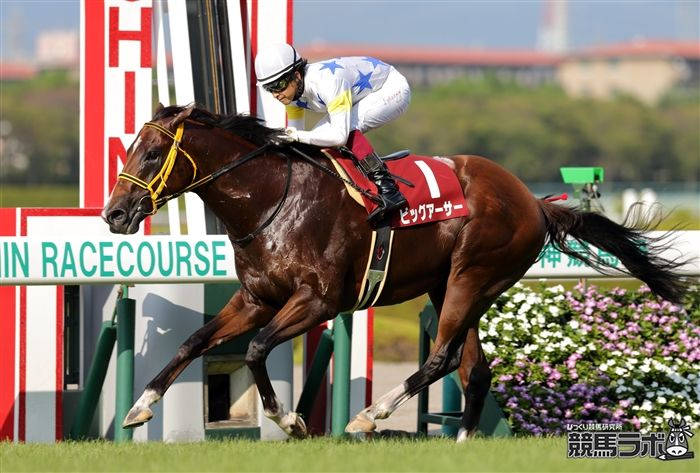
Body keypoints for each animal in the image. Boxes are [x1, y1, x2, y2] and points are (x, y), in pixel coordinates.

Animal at [103, 104, 688, 441]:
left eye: (151, 154)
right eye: (131, 147)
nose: (115, 214)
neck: (272, 199)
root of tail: (535, 201)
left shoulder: (317, 301)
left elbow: (256, 349)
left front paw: (290, 420)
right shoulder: (255, 299)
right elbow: (195, 340)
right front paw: (139, 408)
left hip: (474, 276)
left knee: (441, 357)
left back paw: (369, 415)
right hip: (451, 286)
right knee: (475, 370)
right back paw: (461, 445)